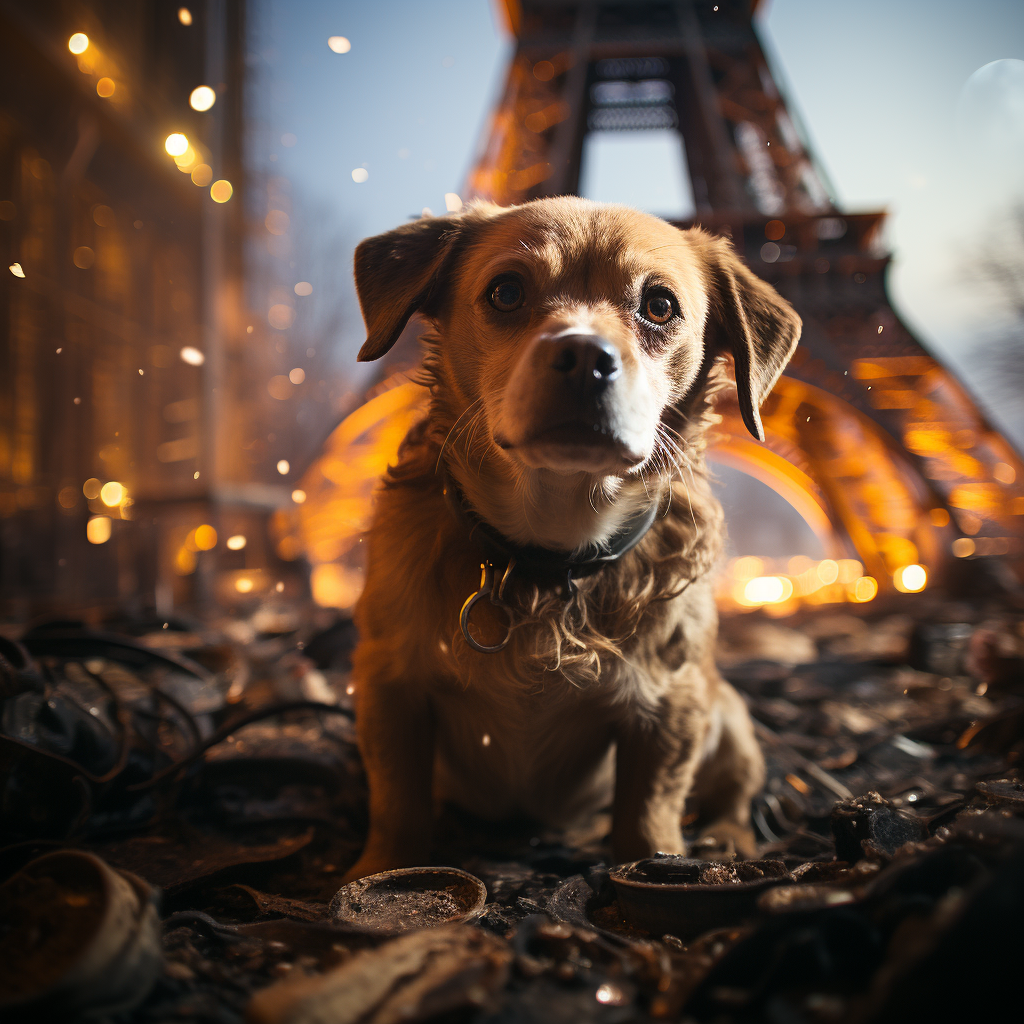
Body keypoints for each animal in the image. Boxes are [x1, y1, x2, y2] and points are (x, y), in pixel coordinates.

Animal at [342, 197, 798, 880]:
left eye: (659, 305)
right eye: (506, 292)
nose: (585, 356)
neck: (550, 554)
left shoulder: (671, 709)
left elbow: (649, 815)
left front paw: (658, 870)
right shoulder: (389, 687)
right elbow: (398, 802)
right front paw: (377, 878)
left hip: (727, 718)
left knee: (734, 795)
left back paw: (728, 841)